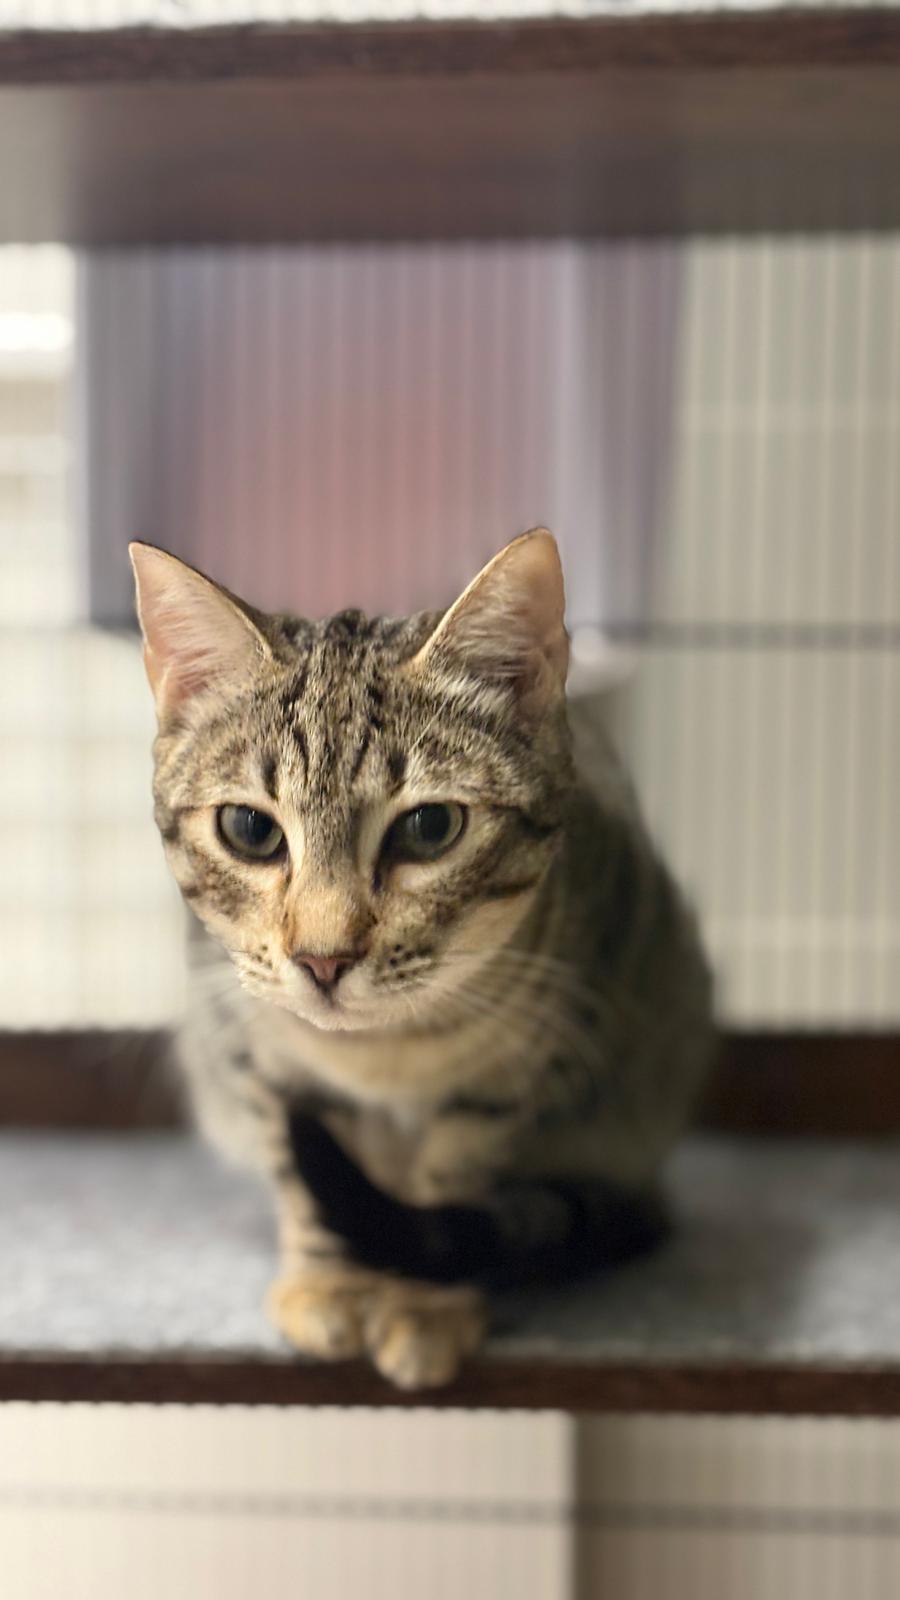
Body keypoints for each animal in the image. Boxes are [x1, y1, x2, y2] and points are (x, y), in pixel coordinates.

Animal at [131, 529, 714, 1389]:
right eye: (250, 829)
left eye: (429, 828)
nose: (324, 958)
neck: (386, 1055)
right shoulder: (259, 1056)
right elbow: (302, 1169)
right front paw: (333, 1282)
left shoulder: (514, 1073)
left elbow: (450, 1174)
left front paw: (422, 1304)